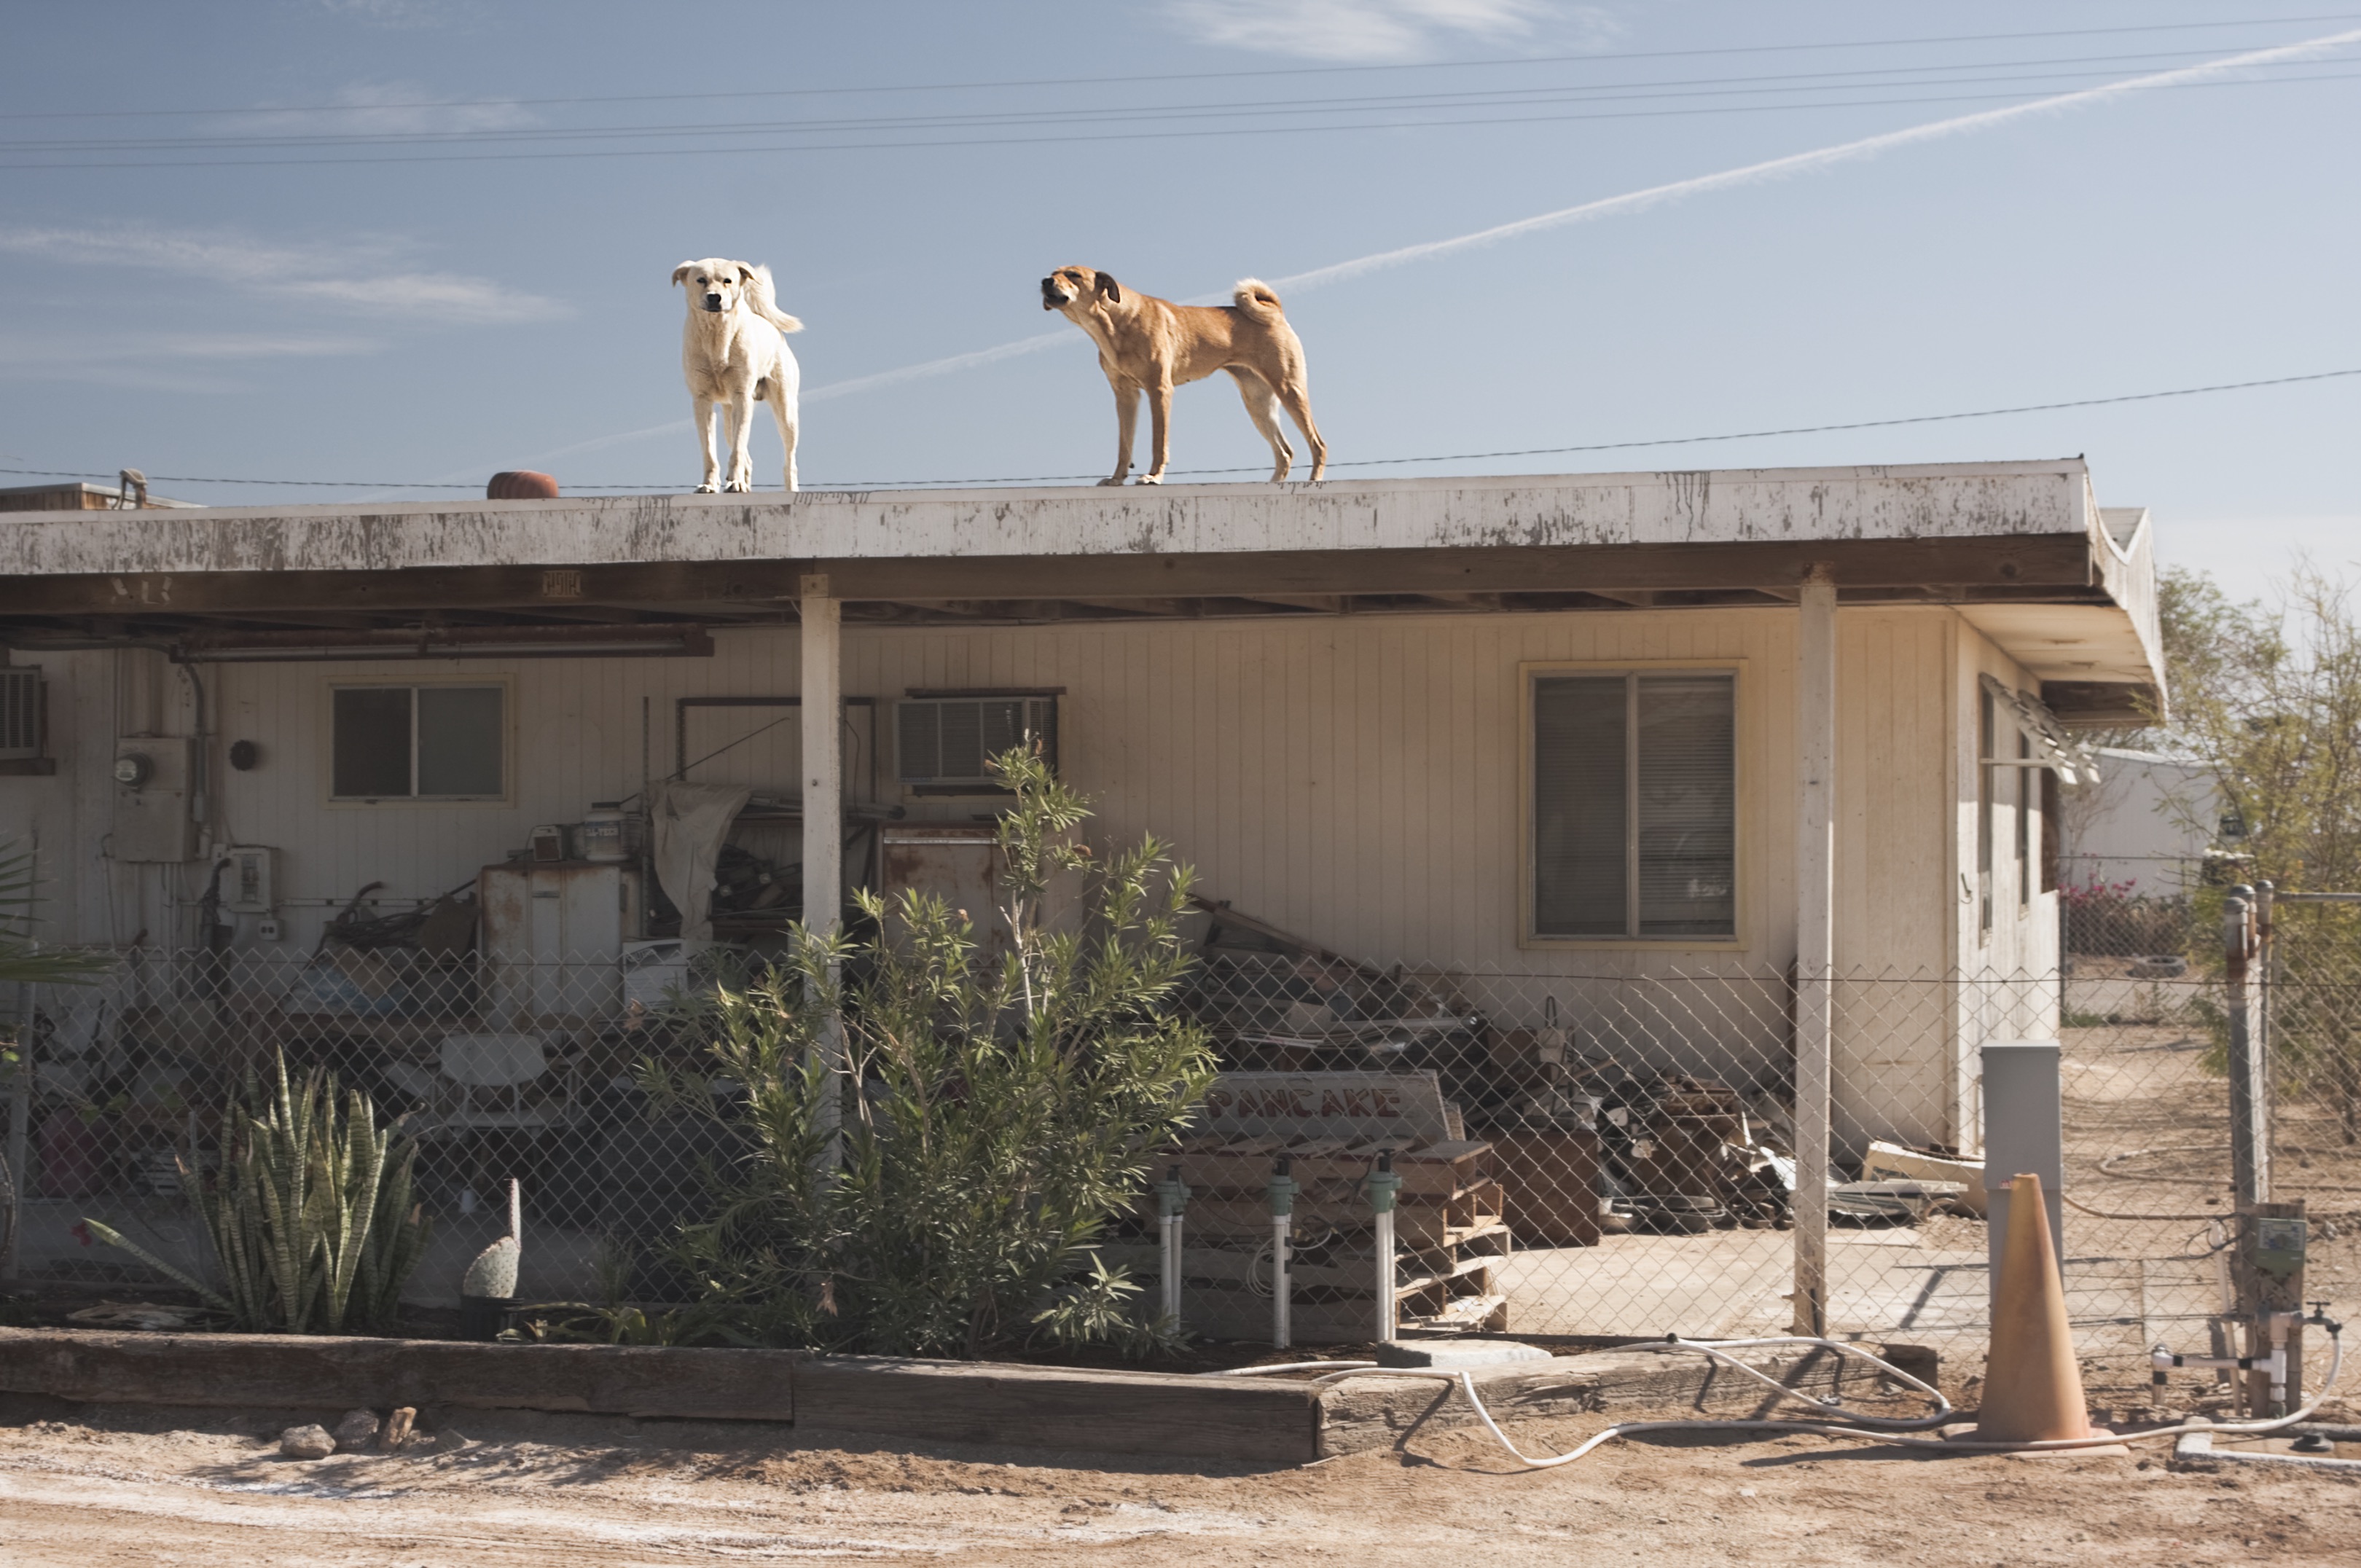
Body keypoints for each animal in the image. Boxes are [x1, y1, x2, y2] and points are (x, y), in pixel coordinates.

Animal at [675, 257, 802, 493]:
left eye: (728, 281)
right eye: (701, 280)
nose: (714, 297)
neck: (716, 336)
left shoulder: (742, 397)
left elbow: (737, 450)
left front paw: (735, 482)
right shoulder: (702, 401)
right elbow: (709, 452)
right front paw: (709, 484)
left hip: (786, 411)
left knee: (789, 462)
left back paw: (790, 491)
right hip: (728, 419)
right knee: (747, 459)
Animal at [1038, 263, 1322, 486]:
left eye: (1073, 274)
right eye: (1053, 273)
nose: (1045, 281)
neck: (1114, 322)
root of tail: (1276, 313)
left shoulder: (1159, 390)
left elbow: (1158, 442)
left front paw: (1153, 477)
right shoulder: (1125, 396)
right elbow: (1124, 446)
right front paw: (1117, 479)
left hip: (1289, 389)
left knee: (1318, 444)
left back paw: (1314, 481)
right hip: (1258, 404)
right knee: (1285, 452)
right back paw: (1272, 484)